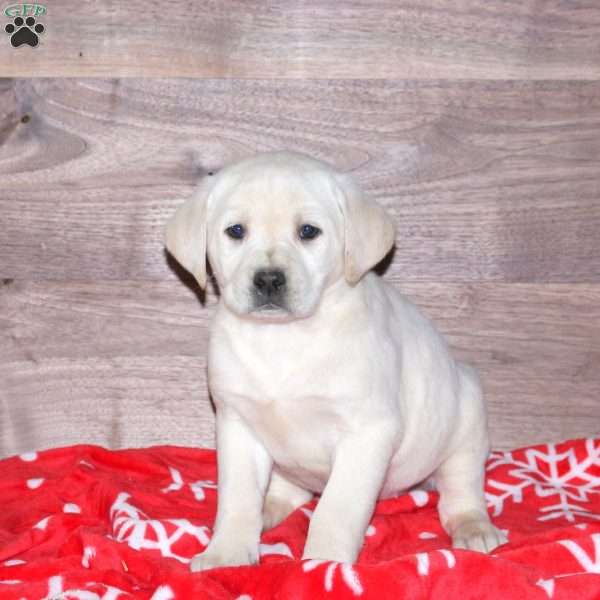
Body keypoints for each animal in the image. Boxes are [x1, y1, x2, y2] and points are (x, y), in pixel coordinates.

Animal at [165, 151, 506, 572]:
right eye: (236, 231)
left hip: (466, 426)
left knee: (461, 491)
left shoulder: (368, 432)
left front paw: (325, 565)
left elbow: (336, 510)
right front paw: (226, 553)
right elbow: (237, 499)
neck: (283, 339)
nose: (268, 280)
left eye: (309, 231)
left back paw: (474, 527)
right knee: (290, 490)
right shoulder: (237, 425)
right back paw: (269, 510)